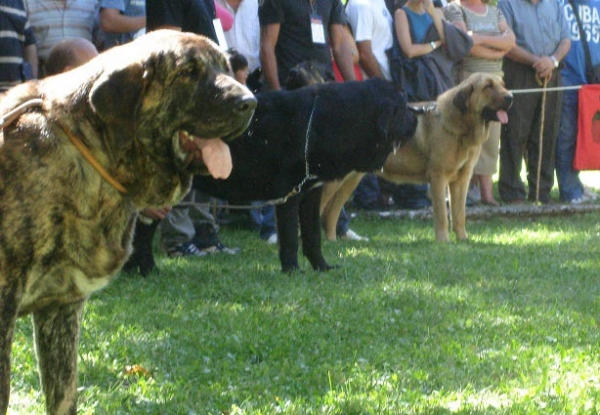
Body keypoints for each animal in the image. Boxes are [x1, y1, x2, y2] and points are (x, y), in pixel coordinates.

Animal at [0, 30, 255, 414]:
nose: (250, 102)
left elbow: (64, 396)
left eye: (224, 68)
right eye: (188, 72)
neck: (91, 149)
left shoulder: (60, 309)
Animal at [127, 79, 418, 272]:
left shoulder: (311, 193)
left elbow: (312, 235)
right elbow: (290, 236)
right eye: (403, 106)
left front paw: (321, 267)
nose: (417, 115)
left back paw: (142, 271)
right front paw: (292, 271)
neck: (324, 123)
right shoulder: (288, 194)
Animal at [322, 74, 512, 244]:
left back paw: (332, 241)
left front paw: (462, 239)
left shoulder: (461, 180)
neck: (461, 129)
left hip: (350, 179)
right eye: (488, 86)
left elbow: (459, 214)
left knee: (331, 213)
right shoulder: (438, 177)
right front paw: (443, 242)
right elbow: (442, 215)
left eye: (503, 85)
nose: (511, 97)